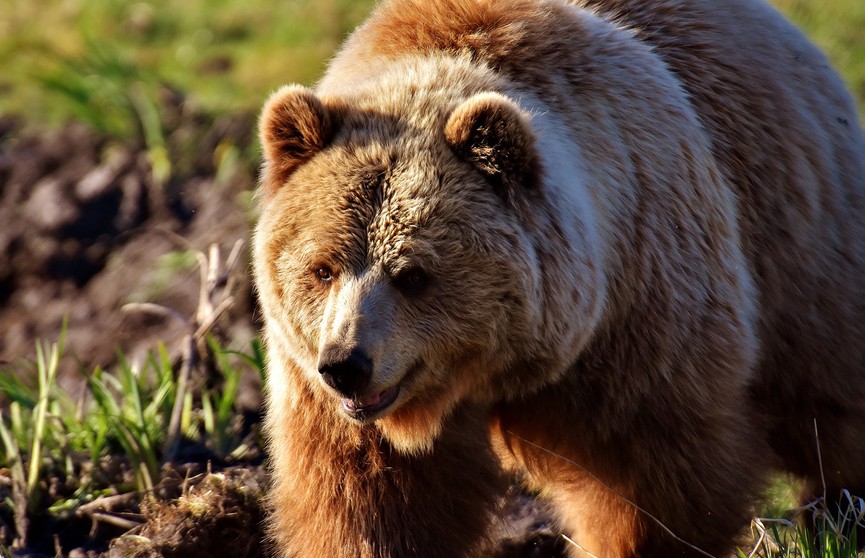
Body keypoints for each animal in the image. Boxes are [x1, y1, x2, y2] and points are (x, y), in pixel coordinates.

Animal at [253, 0, 864, 556]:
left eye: (414, 274)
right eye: (323, 268)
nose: (347, 366)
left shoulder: (640, 311)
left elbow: (650, 482)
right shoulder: (322, 391)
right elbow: (371, 501)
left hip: (797, 247)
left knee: (826, 398)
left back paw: (838, 512)